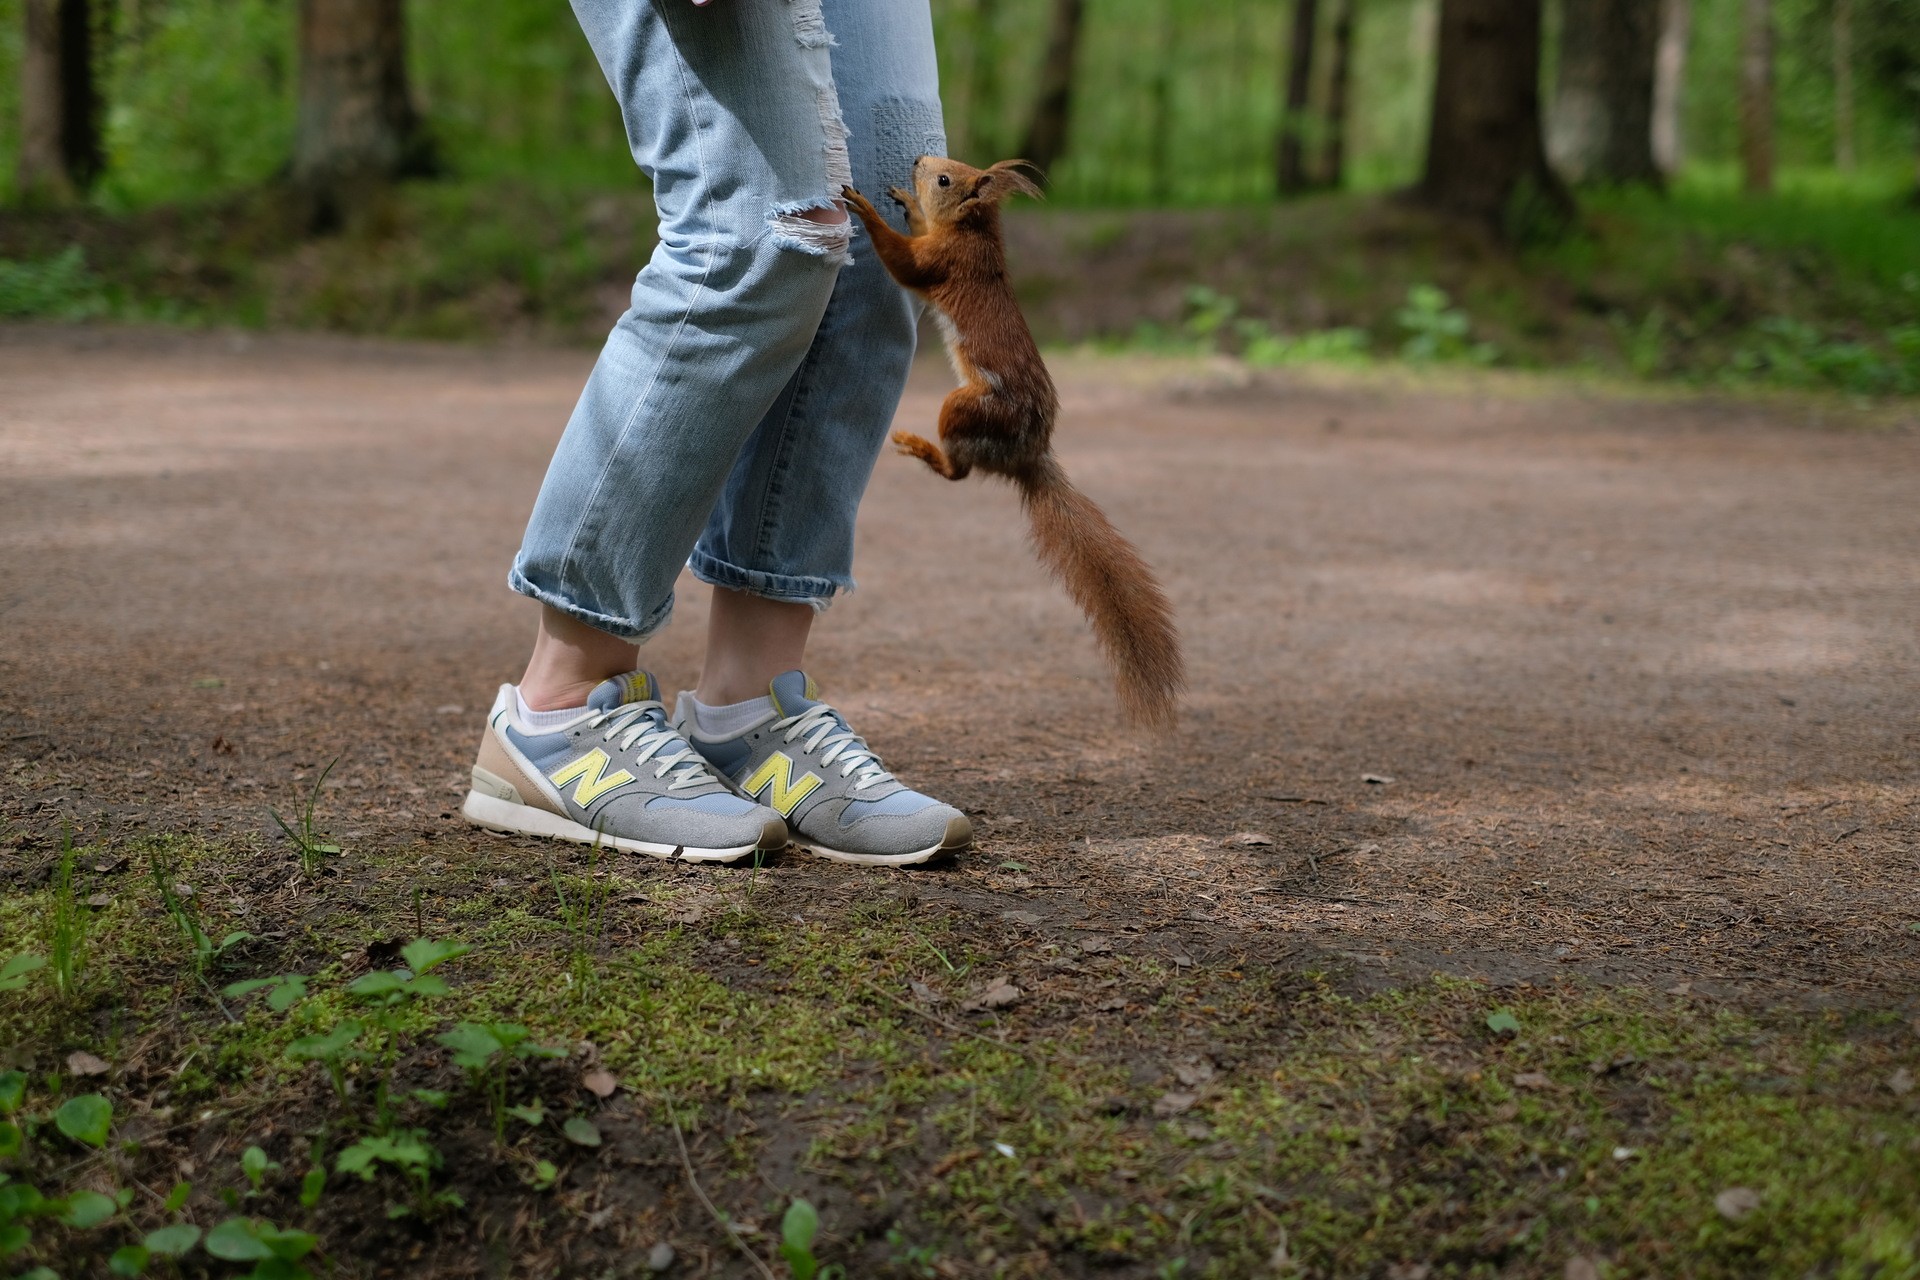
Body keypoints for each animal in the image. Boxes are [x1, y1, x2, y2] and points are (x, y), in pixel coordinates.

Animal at [844, 157, 1182, 729]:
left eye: (945, 179)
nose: (917, 163)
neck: (975, 232)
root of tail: (1027, 454)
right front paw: (904, 202)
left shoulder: (942, 261)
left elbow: (905, 263)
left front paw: (866, 207)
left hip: (964, 407)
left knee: (959, 471)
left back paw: (919, 445)